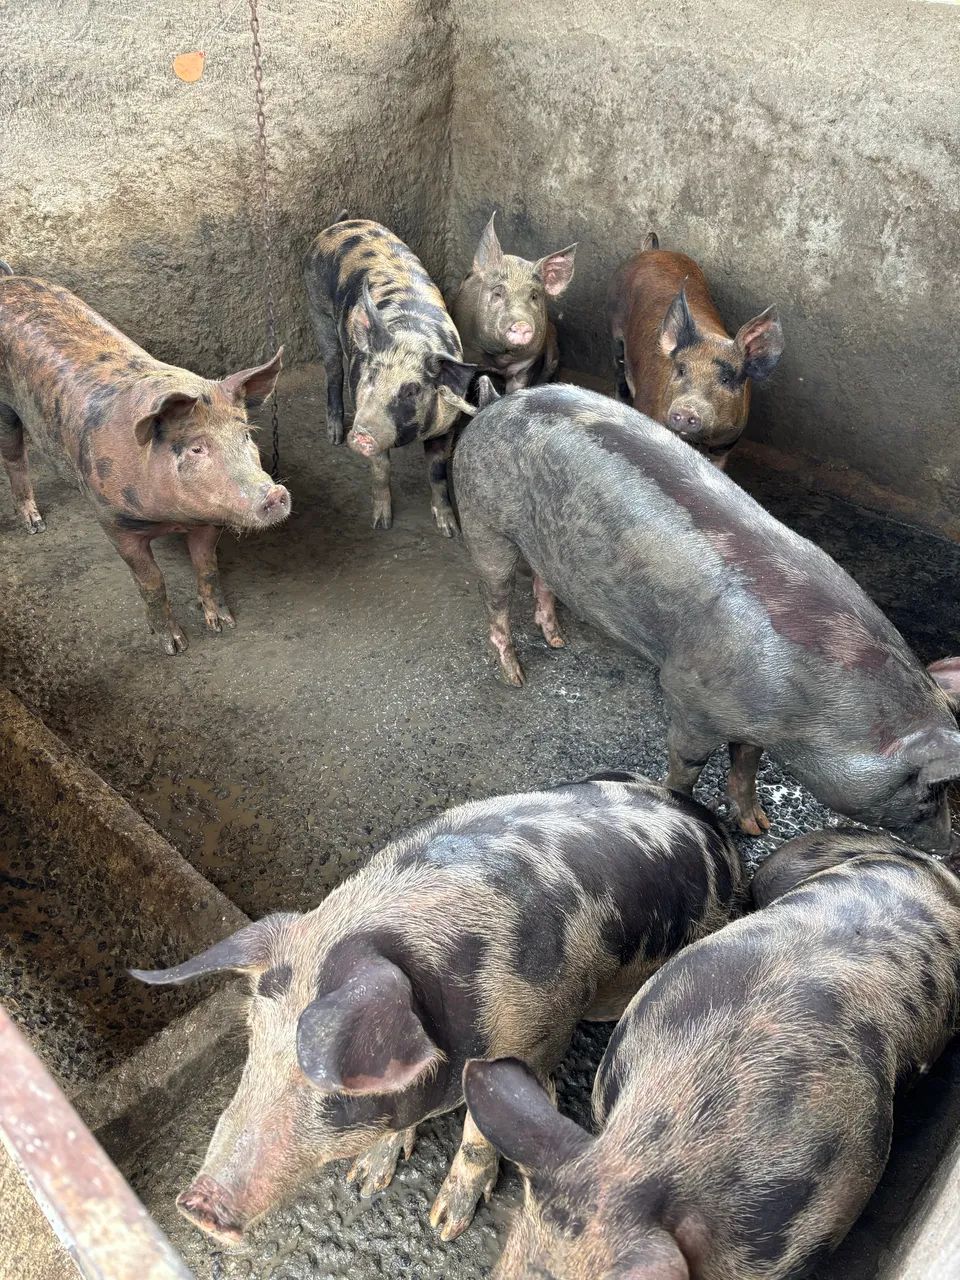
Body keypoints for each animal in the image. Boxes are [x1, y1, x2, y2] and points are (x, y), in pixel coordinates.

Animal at [0, 262, 289, 654]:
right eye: (197, 448)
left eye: (245, 434)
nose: (275, 493)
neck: (173, 517)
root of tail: (8, 279)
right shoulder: (112, 519)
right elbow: (151, 581)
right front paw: (175, 646)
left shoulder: (209, 520)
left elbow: (208, 567)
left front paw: (223, 625)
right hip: (6, 409)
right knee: (15, 458)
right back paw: (35, 524)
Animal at [132, 772, 742, 1245]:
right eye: (253, 1047)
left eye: (334, 1087)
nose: (196, 1206)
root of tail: (715, 827)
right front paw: (363, 1183)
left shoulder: (532, 1043)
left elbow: (477, 1137)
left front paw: (443, 1227)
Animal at [303, 216, 475, 535]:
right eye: (371, 376)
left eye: (412, 389)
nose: (361, 434)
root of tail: (342, 224)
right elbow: (381, 471)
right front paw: (381, 524)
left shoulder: (446, 427)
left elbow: (437, 474)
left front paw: (449, 530)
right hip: (316, 305)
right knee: (332, 369)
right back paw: (334, 437)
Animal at [452, 382, 960, 850]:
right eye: (929, 790)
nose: (948, 844)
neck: (811, 713)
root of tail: (495, 402)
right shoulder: (687, 693)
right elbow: (688, 765)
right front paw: (681, 804)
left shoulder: (753, 722)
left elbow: (746, 766)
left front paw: (759, 827)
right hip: (481, 517)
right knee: (496, 596)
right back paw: (515, 676)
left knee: (542, 579)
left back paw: (557, 641)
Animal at [608, 232, 783, 468]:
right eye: (681, 370)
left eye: (726, 379)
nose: (686, 409)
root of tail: (652, 251)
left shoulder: (726, 444)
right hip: (614, 329)